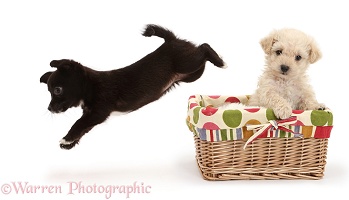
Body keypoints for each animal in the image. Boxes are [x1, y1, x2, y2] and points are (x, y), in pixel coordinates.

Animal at [40, 24, 226, 149]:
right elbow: (83, 128)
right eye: (49, 91)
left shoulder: (98, 111)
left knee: (204, 46)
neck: (90, 86)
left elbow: (78, 123)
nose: (49, 109)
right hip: (192, 74)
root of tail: (171, 41)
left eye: (57, 90)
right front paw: (70, 142)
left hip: (187, 63)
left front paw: (66, 138)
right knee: (202, 57)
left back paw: (220, 62)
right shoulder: (92, 115)